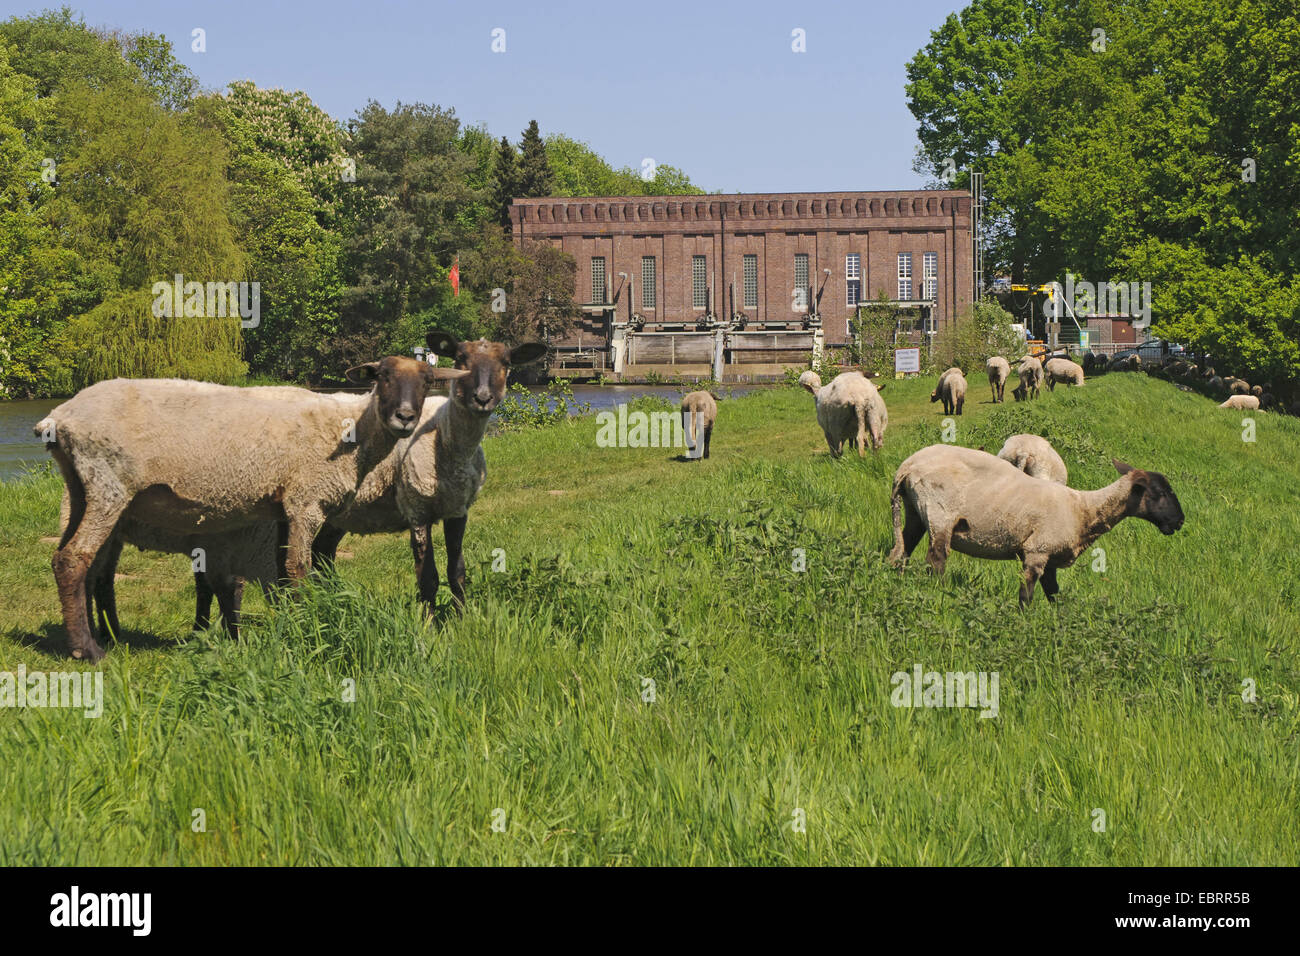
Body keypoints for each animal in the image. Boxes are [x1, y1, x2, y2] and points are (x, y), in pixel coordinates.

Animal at [35, 358, 473, 658]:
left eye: (427, 382)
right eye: (381, 376)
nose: (406, 418)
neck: (349, 431)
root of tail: (58, 418)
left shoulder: (281, 509)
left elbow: (280, 573)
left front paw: (284, 624)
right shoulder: (304, 499)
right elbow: (298, 569)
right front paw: (307, 628)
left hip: (81, 487)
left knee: (75, 562)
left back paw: (95, 637)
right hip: (107, 482)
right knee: (74, 560)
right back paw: (88, 650)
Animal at [889, 442, 1185, 606]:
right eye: (1160, 493)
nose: (1180, 521)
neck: (1083, 510)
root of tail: (907, 466)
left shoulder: (1051, 557)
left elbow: (1055, 595)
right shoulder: (1036, 552)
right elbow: (1026, 595)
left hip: (916, 511)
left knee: (905, 548)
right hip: (940, 512)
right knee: (936, 558)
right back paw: (937, 592)